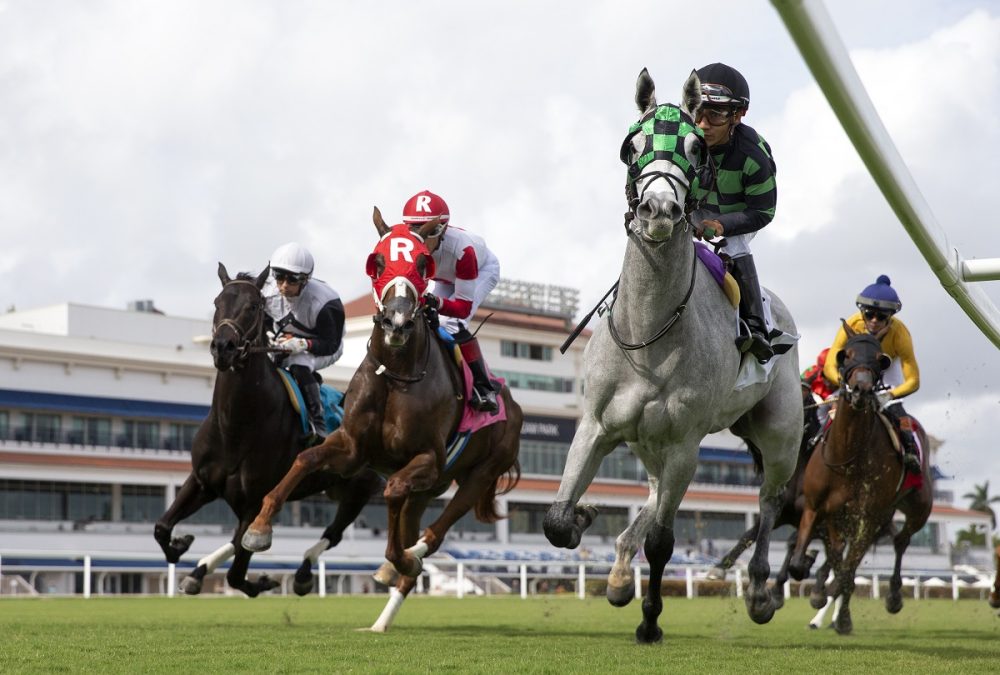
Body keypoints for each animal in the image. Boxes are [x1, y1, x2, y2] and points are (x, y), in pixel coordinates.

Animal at [243, 209, 524, 632]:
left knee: (435, 532)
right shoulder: (352, 449)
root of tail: (515, 406)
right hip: (431, 488)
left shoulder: (428, 458)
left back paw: (410, 560)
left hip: (478, 474)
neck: (395, 374)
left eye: (423, 264)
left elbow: (391, 491)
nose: (397, 321)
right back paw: (382, 614)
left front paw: (402, 558)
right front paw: (258, 530)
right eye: (376, 261)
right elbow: (306, 459)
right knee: (412, 521)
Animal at [544, 68, 800, 644]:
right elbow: (556, 520)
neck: (650, 331)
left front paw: (651, 621)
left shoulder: (686, 443)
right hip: (645, 442)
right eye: (633, 144)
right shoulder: (597, 425)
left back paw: (759, 591)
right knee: (654, 492)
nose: (659, 210)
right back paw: (619, 572)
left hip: (779, 436)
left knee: (769, 503)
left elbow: (664, 541)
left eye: (694, 145)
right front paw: (586, 518)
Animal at [788, 326, 936, 632]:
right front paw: (816, 585)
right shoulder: (818, 509)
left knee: (901, 541)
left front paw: (838, 612)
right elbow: (807, 561)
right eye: (846, 355)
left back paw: (892, 596)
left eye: (881, 360)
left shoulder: (865, 517)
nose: (861, 390)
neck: (847, 454)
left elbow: (846, 572)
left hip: (917, 509)